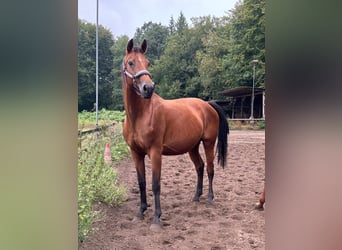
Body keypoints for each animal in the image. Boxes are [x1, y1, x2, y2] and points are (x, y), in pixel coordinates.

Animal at [121, 38, 228, 230]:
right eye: (131, 62)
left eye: (148, 62)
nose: (148, 88)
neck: (140, 115)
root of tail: (207, 104)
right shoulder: (136, 153)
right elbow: (142, 183)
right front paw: (140, 212)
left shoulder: (155, 152)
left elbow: (155, 184)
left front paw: (156, 218)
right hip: (193, 147)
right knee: (200, 167)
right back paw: (196, 197)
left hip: (208, 143)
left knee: (209, 169)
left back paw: (209, 199)